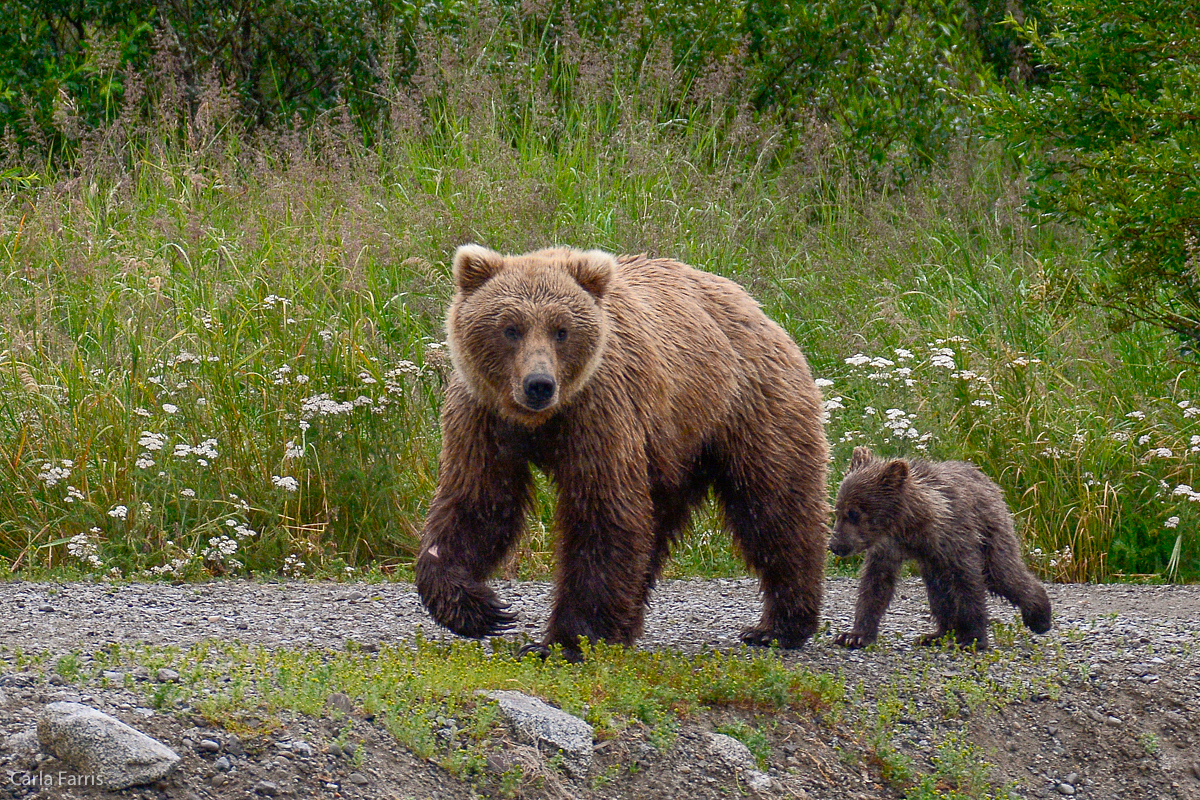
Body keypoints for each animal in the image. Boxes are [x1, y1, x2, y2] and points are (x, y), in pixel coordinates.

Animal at [412, 245, 825, 657]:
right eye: (510, 328)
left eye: (562, 330)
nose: (539, 384)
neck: (538, 422)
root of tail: (757, 309)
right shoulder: (483, 419)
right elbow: (479, 503)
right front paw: (478, 609)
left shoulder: (599, 411)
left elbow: (602, 514)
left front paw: (563, 641)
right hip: (672, 447)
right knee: (658, 526)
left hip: (746, 407)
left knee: (774, 507)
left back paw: (779, 625)